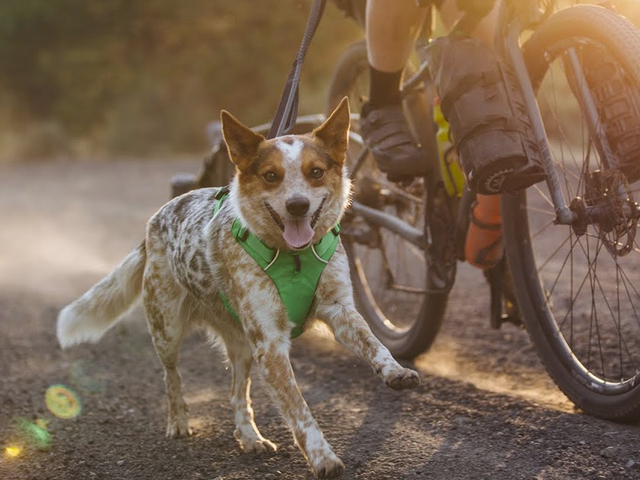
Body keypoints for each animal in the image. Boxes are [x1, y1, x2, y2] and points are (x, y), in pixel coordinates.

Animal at [56, 98, 420, 480]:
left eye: (316, 172)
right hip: (167, 331)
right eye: (271, 175)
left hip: (243, 346)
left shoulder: (339, 310)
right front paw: (322, 457)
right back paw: (179, 421)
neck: (294, 257)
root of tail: (155, 220)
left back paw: (249, 436)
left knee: (236, 394)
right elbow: (299, 410)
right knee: (172, 378)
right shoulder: (271, 344)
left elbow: (373, 342)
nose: (298, 205)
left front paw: (395, 370)